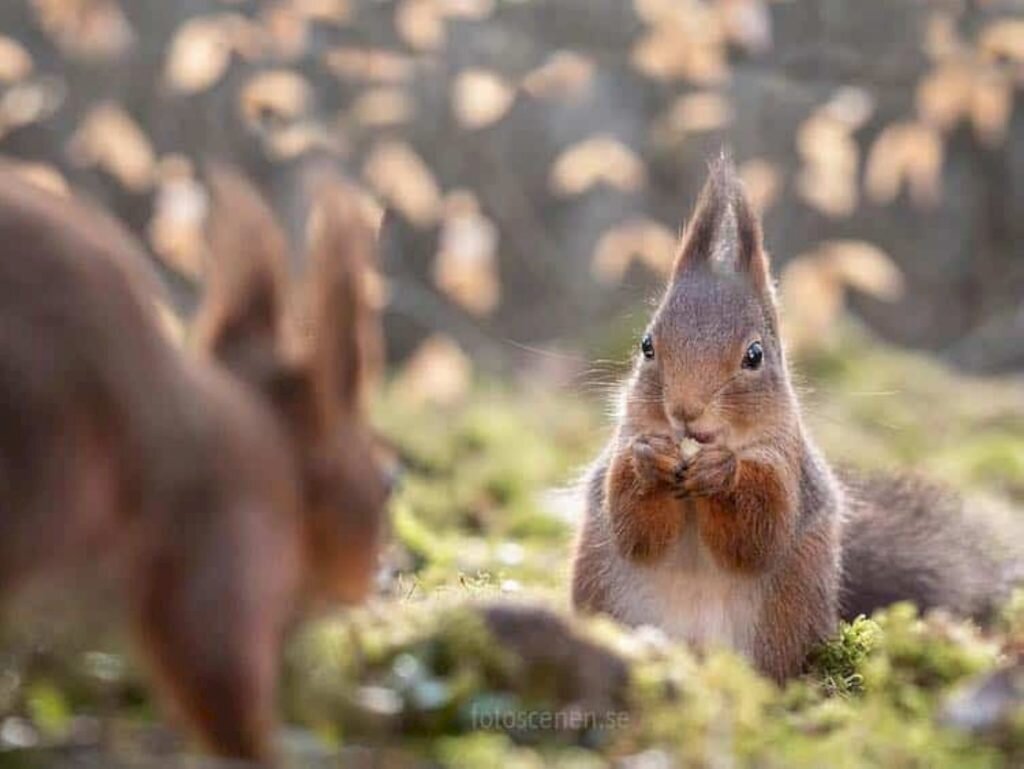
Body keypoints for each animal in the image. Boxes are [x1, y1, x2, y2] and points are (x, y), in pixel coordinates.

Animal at [573, 156, 1019, 679]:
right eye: (646, 346)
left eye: (754, 355)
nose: (684, 412)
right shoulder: (623, 450)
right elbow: (633, 529)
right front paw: (650, 460)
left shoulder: (786, 465)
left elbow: (760, 534)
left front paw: (722, 472)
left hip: (785, 614)